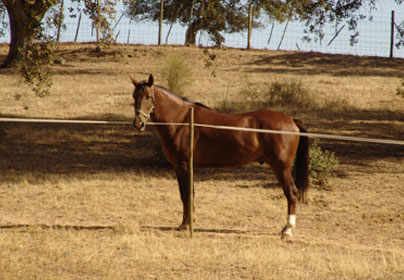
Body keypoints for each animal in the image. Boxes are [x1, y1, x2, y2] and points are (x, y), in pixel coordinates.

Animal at [131, 74, 308, 238]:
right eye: (134, 96)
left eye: (148, 96)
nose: (138, 123)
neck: (181, 120)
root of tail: (291, 120)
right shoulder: (179, 166)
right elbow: (185, 193)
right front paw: (185, 223)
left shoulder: (183, 165)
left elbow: (187, 193)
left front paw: (188, 223)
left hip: (281, 167)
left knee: (291, 192)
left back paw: (287, 230)